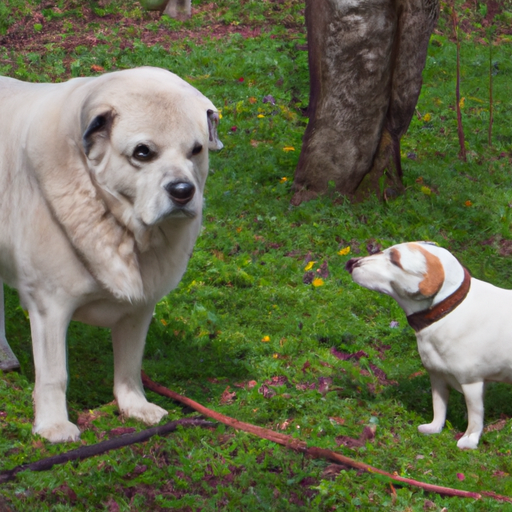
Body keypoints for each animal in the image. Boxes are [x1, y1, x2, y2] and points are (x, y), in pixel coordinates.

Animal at [0, 67, 222, 444]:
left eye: (196, 150)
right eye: (143, 152)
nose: (183, 191)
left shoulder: (140, 307)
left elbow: (130, 365)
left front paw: (135, 407)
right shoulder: (49, 307)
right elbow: (54, 374)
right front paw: (53, 425)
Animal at [346, 241, 512, 448]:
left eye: (395, 260)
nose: (351, 263)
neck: (448, 311)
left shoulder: (472, 383)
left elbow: (475, 417)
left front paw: (470, 440)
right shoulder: (437, 376)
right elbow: (439, 406)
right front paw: (434, 427)